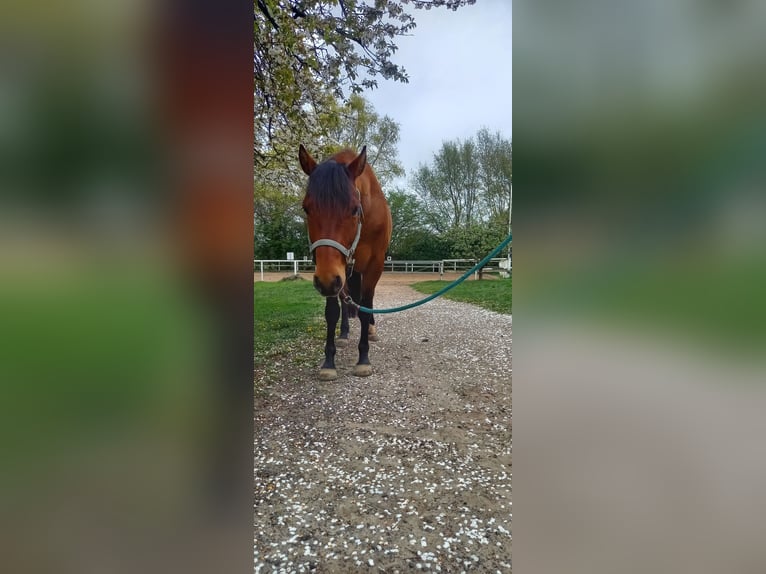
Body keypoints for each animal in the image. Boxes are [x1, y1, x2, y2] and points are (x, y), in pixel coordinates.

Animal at [299, 144, 392, 381]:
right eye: (306, 208)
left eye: (354, 209)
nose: (326, 281)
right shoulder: (330, 272)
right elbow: (332, 312)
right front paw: (329, 362)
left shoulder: (374, 265)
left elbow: (365, 307)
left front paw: (363, 359)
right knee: (345, 299)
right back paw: (343, 333)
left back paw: (371, 330)